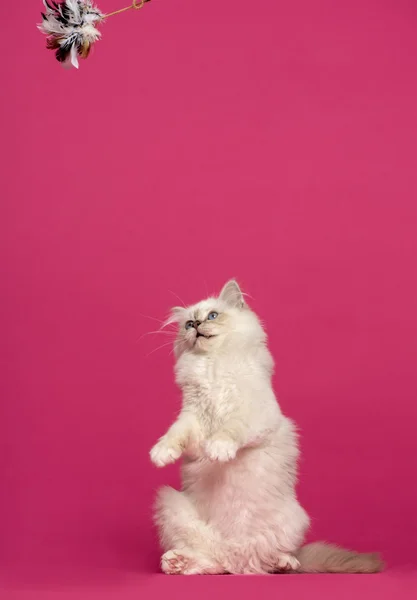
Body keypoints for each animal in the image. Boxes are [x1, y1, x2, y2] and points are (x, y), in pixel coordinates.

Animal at [150, 278, 384, 576]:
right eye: (189, 323)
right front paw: (161, 454)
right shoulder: (192, 418)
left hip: (294, 519)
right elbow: (174, 435)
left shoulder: (253, 415)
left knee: (271, 559)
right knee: (214, 561)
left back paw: (283, 562)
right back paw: (177, 562)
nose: (197, 325)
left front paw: (219, 450)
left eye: (212, 316)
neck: (212, 365)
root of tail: (238, 559)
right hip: (170, 503)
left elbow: (230, 430)